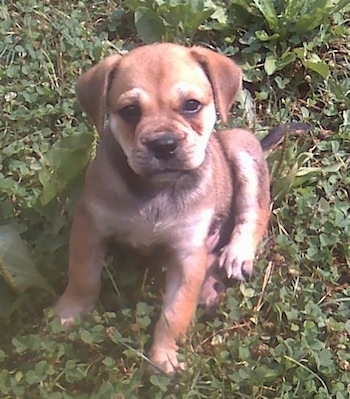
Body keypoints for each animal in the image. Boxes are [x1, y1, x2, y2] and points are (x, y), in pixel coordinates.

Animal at [55, 43, 270, 376]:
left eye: (192, 105)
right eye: (130, 111)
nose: (164, 145)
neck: (155, 190)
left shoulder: (187, 253)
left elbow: (175, 312)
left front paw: (164, 355)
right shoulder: (90, 225)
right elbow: (83, 275)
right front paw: (70, 311)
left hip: (241, 147)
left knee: (254, 214)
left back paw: (236, 255)